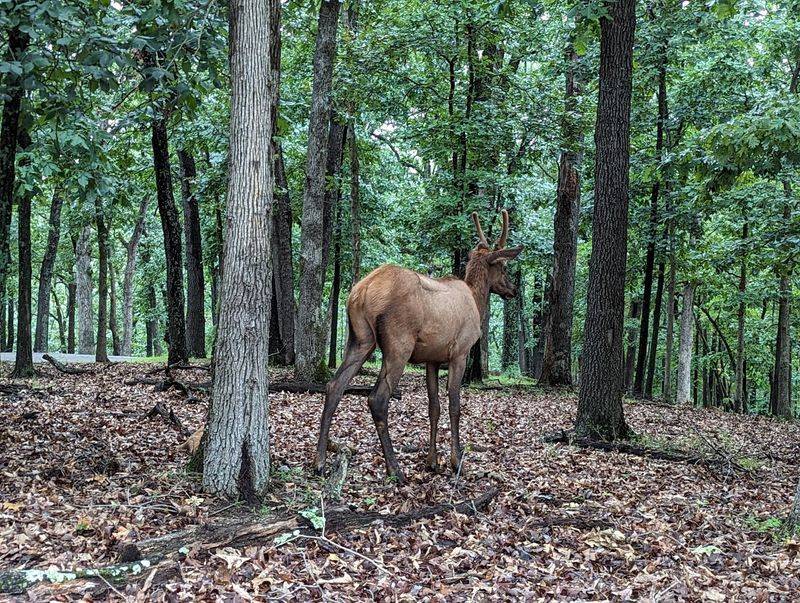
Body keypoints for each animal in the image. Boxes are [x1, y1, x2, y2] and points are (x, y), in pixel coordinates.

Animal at [315, 209, 523, 482]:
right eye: (503, 266)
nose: (514, 289)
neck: (477, 302)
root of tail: (361, 292)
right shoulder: (460, 352)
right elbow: (454, 405)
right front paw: (456, 461)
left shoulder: (431, 359)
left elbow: (433, 406)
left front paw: (432, 461)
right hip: (398, 343)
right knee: (377, 398)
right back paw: (394, 469)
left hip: (360, 339)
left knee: (334, 386)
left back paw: (319, 462)